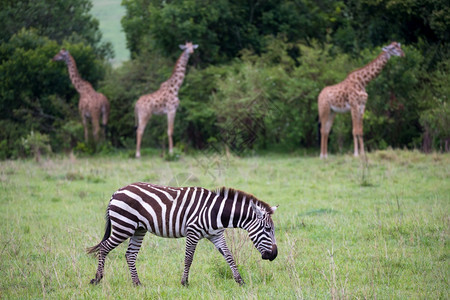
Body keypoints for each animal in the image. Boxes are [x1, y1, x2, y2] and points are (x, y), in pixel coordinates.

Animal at [87, 183, 278, 286]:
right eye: (267, 230)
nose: (274, 255)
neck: (216, 212)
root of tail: (117, 191)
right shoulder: (193, 232)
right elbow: (188, 258)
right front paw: (184, 282)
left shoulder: (216, 235)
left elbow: (229, 256)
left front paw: (239, 281)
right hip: (123, 226)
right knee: (104, 247)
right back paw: (97, 279)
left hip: (138, 229)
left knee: (130, 255)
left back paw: (137, 283)